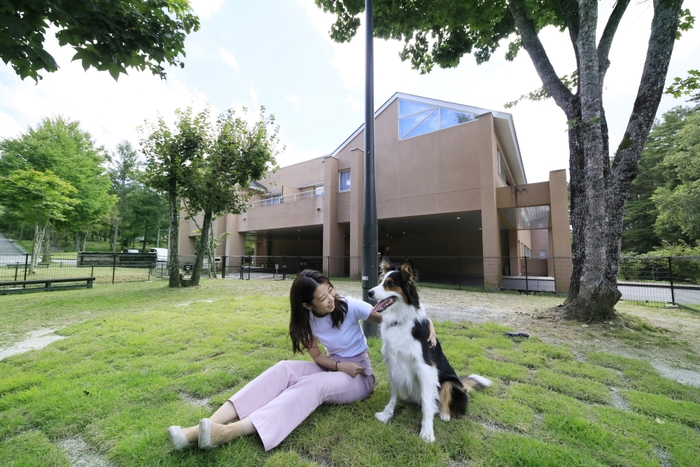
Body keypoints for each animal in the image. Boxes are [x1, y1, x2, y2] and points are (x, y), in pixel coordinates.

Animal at [370, 260, 490, 442]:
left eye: (390, 284)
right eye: (381, 280)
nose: (369, 293)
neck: (400, 321)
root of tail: (462, 385)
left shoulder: (425, 367)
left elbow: (427, 403)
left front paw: (427, 432)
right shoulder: (394, 364)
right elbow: (393, 395)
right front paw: (386, 415)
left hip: (449, 382)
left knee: (443, 401)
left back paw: (444, 414)